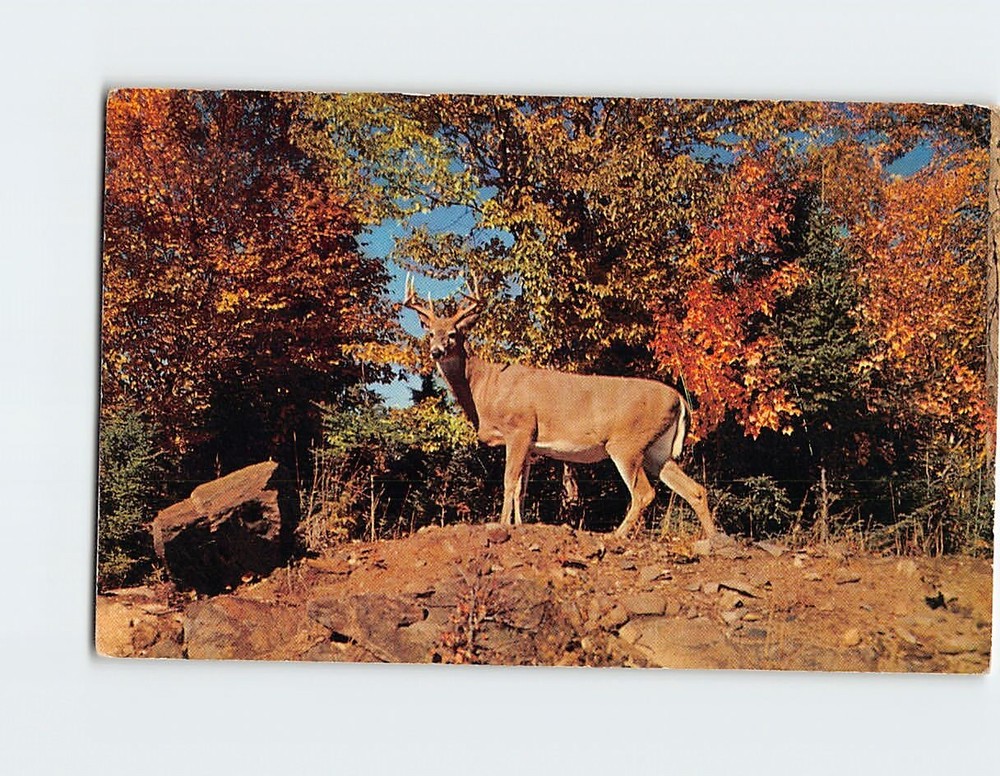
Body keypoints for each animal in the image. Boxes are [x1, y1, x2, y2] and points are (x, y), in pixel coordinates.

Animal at [402, 273, 721, 541]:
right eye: (430, 333)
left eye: (453, 333)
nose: (436, 351)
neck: (485, 390)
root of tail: (679, 398)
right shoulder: (531, 444)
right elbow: (521, 489)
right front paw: (519, 524)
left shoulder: (520, 428)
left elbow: (508, 482)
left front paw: (502, 525)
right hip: (657, 449)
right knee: (695, 489)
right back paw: (712, 540)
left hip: (626, 443)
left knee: (644, 493)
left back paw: (615, 536)